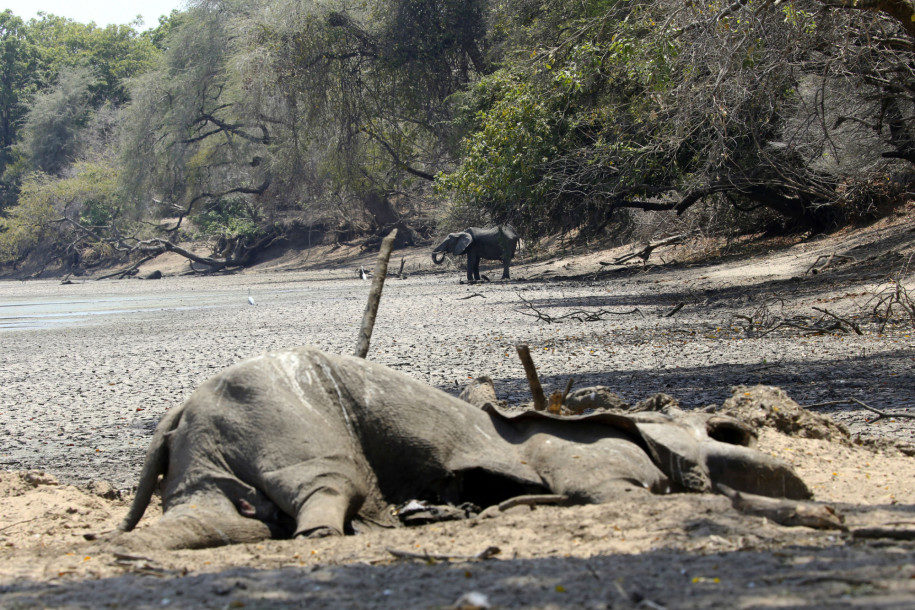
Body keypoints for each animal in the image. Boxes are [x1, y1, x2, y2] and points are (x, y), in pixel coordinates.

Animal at [110, 346, 811, 550]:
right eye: (721, 431)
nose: (745, 430)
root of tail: (183, 409)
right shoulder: (592, 464)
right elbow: (624, 497)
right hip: (293, 420)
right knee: (326, 491)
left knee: (229, 518)